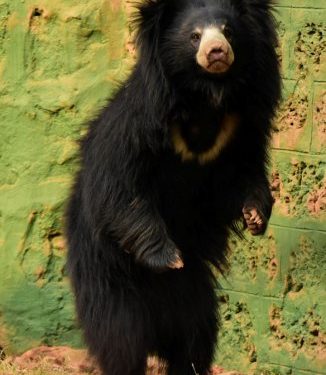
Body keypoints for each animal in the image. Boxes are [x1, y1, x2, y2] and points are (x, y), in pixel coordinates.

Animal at [65, 0, 280, 375]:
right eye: (194, 36)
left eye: (228, 31)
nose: (217, 52)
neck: (206, 97)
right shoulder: (137, 125)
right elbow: (120, 191)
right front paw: (170, 257)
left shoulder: (241, 127)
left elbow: (240, 179)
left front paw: (255, 216)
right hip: (108, 284)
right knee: (120, 341)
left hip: (192, 298)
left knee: (194, 340)